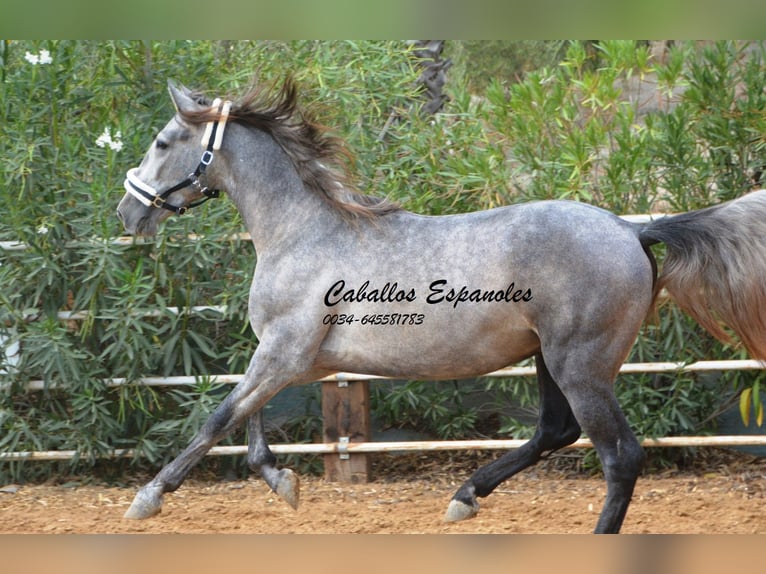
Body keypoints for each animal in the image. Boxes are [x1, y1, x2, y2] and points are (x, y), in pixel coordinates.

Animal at [115, 76, 766, 536]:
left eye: (163, 142)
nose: (128, 212)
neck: (304, 232)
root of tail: (632, 230)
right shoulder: (292, 357)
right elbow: (248, 417)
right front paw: (283, 482)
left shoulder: (285, 351)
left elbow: (220, 416)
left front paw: (148, 498)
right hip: (549, 357)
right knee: (555, 430)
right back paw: (464, 497)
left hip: (581, 364)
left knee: (619, 455)